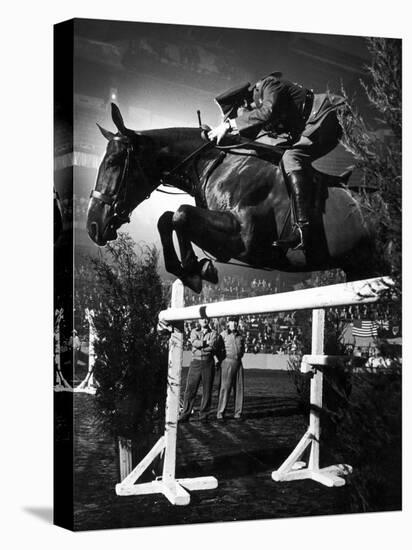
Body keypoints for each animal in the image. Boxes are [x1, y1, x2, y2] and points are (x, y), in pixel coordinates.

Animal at [87, 103, 384, 294]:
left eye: (113, 162)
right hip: (359, 267)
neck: (214, 163)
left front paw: (196, 269)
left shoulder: (243, 239)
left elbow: (181, 214)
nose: (92, 226)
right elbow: (166, 218)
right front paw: (189, 270)